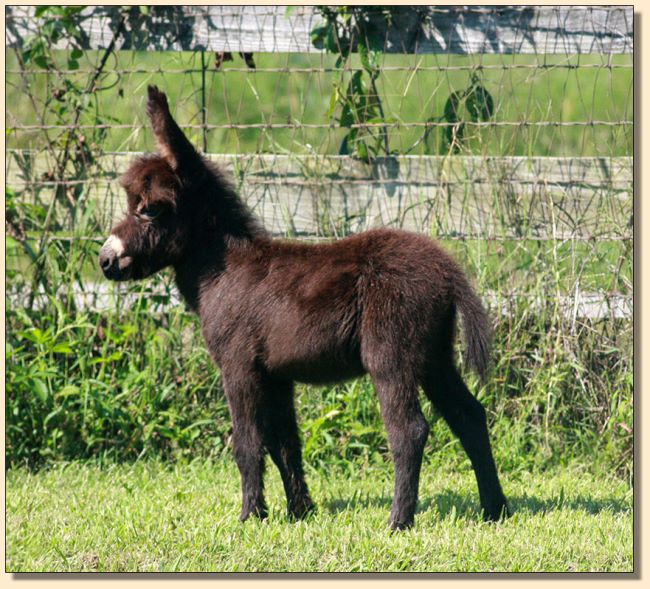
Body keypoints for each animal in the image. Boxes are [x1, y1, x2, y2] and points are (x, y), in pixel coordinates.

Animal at [100, 86, 506, 528]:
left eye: (151, 209)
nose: (105, 260)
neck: (224, 271)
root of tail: (448, 270)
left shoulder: (239, 366)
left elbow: (247, 444)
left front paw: (250, 516)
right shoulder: (277, 375)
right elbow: (285, 446)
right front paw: (300, 512)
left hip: (391, 355)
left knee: (410, 431)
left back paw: (399, 521)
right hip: (433, 356)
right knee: (470, 417)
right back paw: (494, 510)